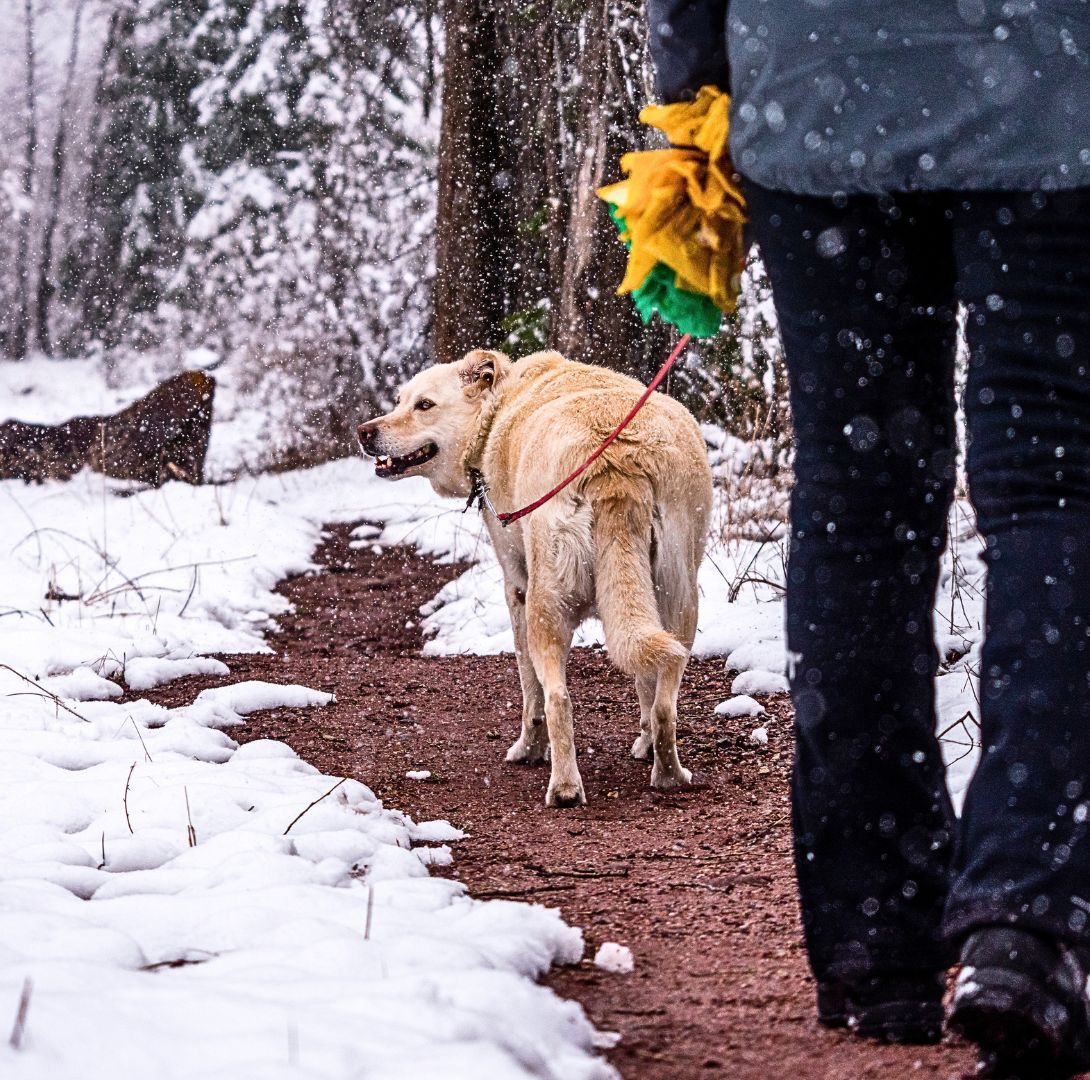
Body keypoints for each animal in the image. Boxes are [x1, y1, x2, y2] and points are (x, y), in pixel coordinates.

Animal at [359, 350, 715, 806]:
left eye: (424, 405)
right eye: (399, 400)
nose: (364, 432)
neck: (499, 406)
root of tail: (616, 460)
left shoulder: (517, 589)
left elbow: (531, 692)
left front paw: (529, 750)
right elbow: (644, 681)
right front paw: (644, 743)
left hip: (547, 607)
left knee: (558, 699)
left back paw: (564, 787)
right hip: (679, 601)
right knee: (665, 693)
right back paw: (668, 773)